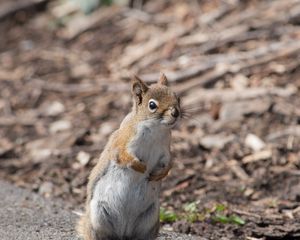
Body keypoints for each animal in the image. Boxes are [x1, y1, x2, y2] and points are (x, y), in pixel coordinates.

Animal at [77, 73, 180, 240]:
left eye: (177, 97)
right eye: (152, 105)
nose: (176, 113)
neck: (155, 130)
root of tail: (123, 232)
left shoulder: (165, 151)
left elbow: (169, 163)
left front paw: (159, 174)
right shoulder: (123, 142)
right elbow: (122, 156)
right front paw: (140, 167)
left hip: (150, 217)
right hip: (98, 216)